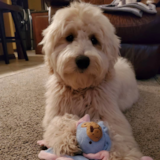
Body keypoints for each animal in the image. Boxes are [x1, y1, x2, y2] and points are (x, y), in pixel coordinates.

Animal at [37, 1, 150, 160]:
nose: (82, 60)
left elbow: (117, 134)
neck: (80, 88)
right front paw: (67, 141)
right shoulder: (55, 112)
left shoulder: (109, 114)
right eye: (69, 37)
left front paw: (123, 155)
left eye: (94, 39)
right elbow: (59, 121)